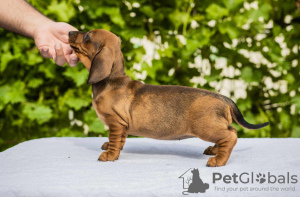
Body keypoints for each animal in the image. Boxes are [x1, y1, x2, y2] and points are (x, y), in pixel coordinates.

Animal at [68, 29, 270, 167]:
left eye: (87, 37)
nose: (69, 31)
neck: (112, 81)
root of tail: (224, 98)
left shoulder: (116, 123)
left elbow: (116, 140)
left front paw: (110, 155)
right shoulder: (122, 125)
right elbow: (120, 140)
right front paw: (110, 146)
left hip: (206, 128)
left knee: (231, 136)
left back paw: (218, 160)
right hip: (215, 125)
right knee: (230, 132)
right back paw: (215, 150)